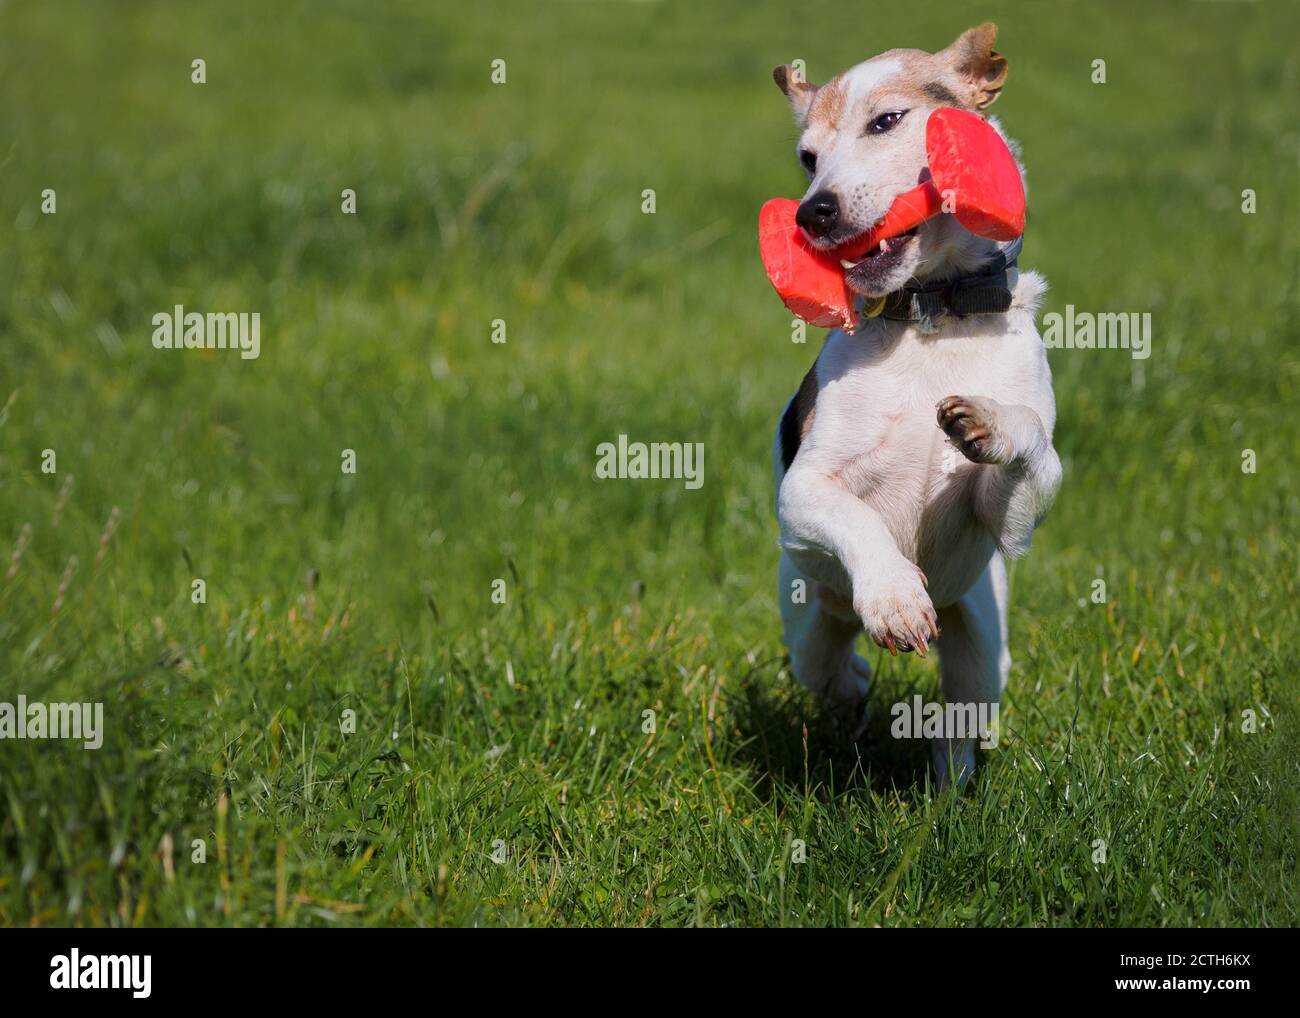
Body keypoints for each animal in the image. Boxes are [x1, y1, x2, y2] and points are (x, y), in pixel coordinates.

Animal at [769, 21, 1055, 790]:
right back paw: (858, 674)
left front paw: (986, 424)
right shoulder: (803, 490)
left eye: (887, 121)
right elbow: (853, 516)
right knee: (828, 665)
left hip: (981, 640)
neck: (933, 317)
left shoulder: (1018, 513)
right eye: (807, 158)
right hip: (808, 606)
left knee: (959, 720)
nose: (811, 213)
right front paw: (895, 597)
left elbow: (1027, 447)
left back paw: (950, 792)